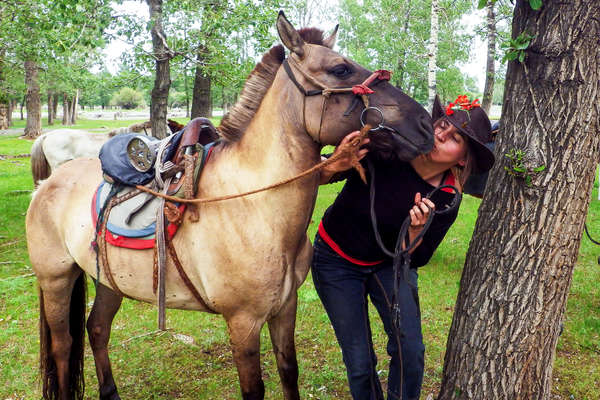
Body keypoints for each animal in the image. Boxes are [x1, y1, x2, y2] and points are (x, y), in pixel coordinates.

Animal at [25, 13, 434, 400]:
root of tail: (46, 186)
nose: (426, 125)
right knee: (63, 347)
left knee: (96, 329)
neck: (255, 205)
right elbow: (254, 388)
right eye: (340, 69)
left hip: (108, 281)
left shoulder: (285, 309)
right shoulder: (243, 321)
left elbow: (289, 371)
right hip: (56, 280)